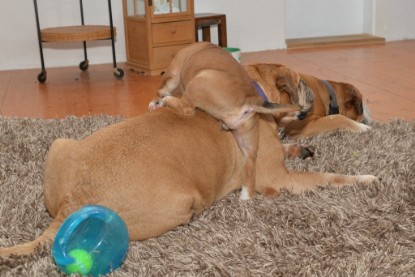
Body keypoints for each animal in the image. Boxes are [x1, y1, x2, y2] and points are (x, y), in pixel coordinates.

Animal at [0, 108, 376, 256]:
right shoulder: (279, 180)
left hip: (59, 144)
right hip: (183, 204)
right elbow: (328, 177)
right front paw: (365, 177)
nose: (303, 112)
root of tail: (72, 204)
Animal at [149, 42, 302, 198]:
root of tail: (250, 99)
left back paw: (167, 101)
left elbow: (161, 89)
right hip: (247, 138)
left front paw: (155, 103)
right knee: (250, 164)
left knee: (185, 107)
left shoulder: (173, 73)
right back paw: (245, 197)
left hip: (200, 81)